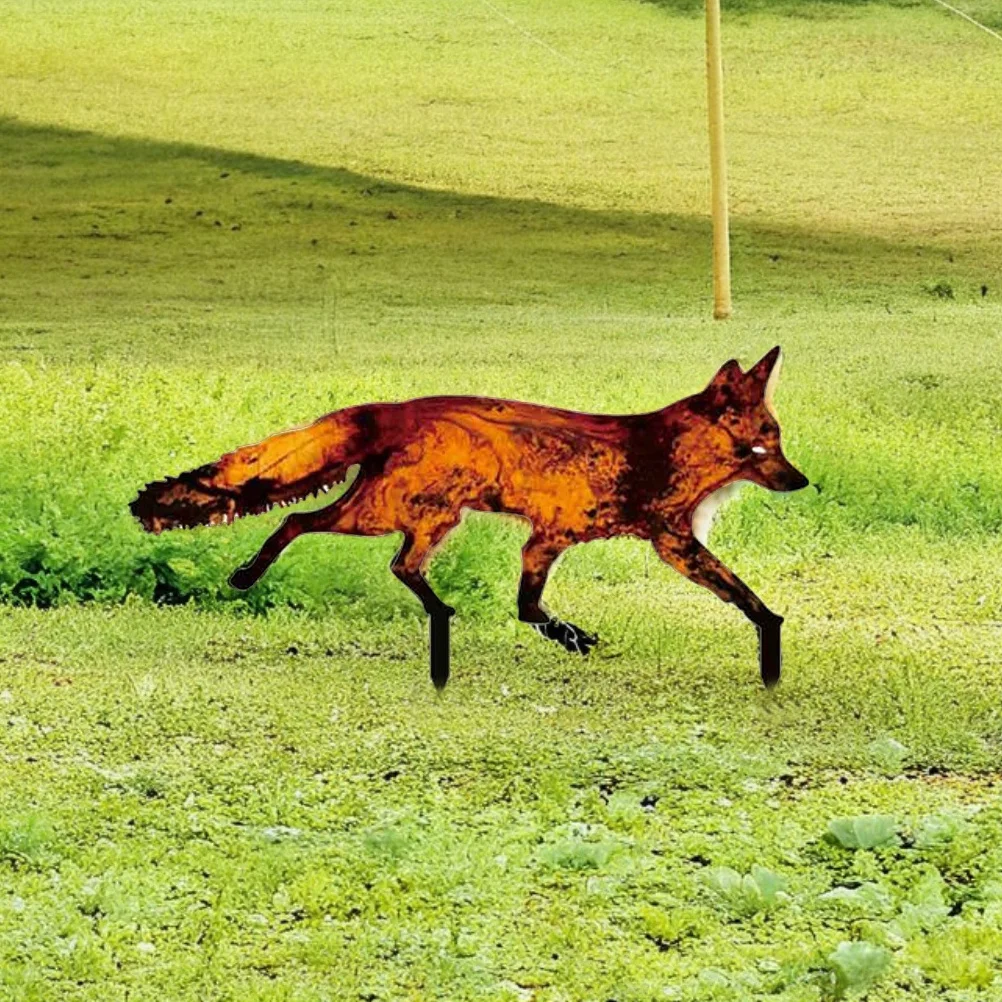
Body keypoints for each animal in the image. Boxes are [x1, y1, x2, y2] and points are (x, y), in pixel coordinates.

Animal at [131, 346, 808, 689]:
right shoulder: (613, 539)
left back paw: (435, 611)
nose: (802, 482)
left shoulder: (556, 540)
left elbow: (528, 608)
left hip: (425, 519)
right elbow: (738, 592)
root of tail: (393, 407)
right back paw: (247, 575)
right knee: (296, 523)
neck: (659, 454)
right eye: (760, 448)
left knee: (398, 565)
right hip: (388, 512)